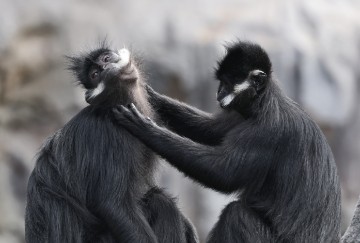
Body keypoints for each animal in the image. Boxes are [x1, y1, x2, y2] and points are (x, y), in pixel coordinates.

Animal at [24, 44, 200, 243]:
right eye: (95, 74)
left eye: (106, 59)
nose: (105, 68)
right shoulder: (108, 134)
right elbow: (113, 206)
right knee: (162, 203)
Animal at [112, 40, 340, 242]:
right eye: (220, 82)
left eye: (228, 82)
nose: (219, 92)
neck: (262, 103)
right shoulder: (240, 115)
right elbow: (212, 130)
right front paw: (151, 96)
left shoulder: (268, 132)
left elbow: (223, 173)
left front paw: (146, 128)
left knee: (236, 215)